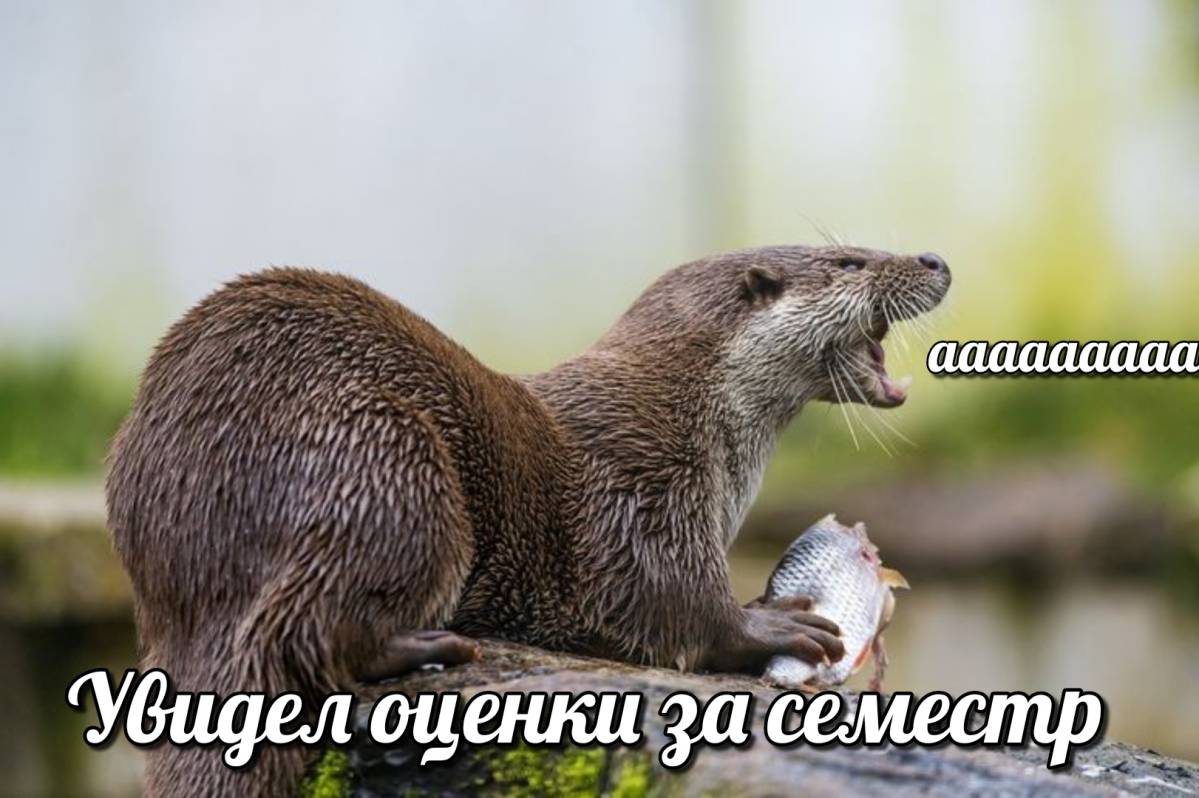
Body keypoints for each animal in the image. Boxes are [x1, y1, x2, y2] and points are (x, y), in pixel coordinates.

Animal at [106, 244, 949, 795]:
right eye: (851, 261)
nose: (933, 258)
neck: (697, 409)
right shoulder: (641, 478)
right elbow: (659, 598)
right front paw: (770, 624)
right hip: (385, 458)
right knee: (304, 631)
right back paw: (429, 646)